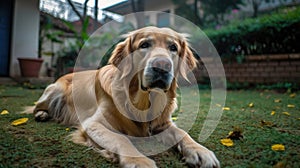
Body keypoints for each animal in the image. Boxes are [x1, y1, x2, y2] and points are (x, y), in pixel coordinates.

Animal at [33, 25, 220, 167]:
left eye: (173, 48)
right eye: (144, 45)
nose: (162, 66)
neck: (143, 102)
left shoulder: (162, 124)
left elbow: (182, 133)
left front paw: (200, 151)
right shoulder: (94, 124)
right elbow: (121, 139)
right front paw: (140, 162)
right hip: (53, 90)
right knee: (36, 106)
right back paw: (41, 114)